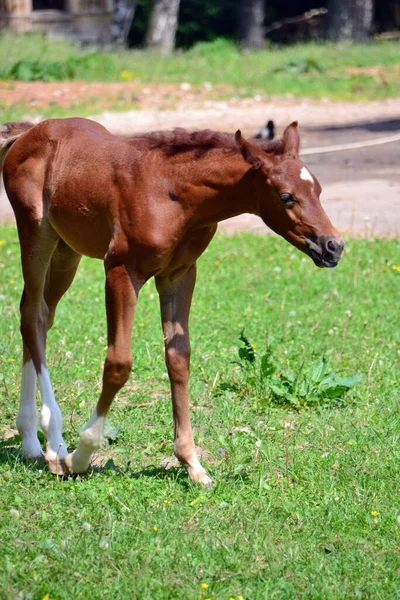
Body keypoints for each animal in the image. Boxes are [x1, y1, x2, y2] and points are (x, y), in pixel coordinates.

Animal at [0, 118, 344, 488]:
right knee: (31, 315)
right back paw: (53, 441)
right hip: (36, 232)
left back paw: (34, 441)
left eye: (318, 190)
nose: (333, 246)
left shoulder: (179, 274)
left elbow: (178, 359)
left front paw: (192, 463)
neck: (174, 193)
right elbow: (118, 363)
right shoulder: (121, 269)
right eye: (286, 196)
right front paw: (80, 455)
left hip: (67, 249)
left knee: (42, 318)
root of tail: (28, 132)